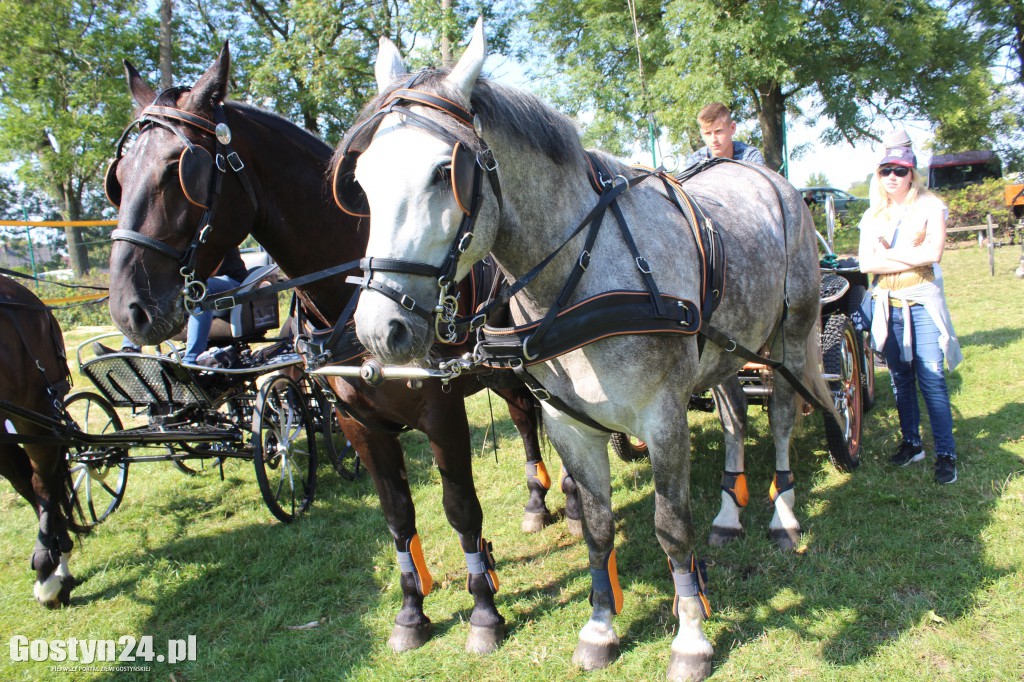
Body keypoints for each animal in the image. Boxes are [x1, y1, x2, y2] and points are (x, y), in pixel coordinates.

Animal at [101, 43, 561, 655]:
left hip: (510, 367)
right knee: (524, 416)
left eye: (183, 172)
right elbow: (397, 515)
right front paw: (411, 612)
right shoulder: (355, 422)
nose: (129, 307)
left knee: (528, 415)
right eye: (120, 177)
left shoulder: (441, 412)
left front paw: (484, 609)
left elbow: (460, 508)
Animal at [344, 22, 839, 679]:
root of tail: (772, 180)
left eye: (440, 173)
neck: (582, 275)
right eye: (363, 180)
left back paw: (783, 517)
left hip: (788, 334)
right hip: (724, 351)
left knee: (782, 416)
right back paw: (730, 514)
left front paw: (690, 637)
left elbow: (670, 528)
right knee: (736, 416)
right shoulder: (569, 425)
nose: (381, 329)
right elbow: (598, 529)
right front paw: (602, 627)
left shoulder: (663, 418)